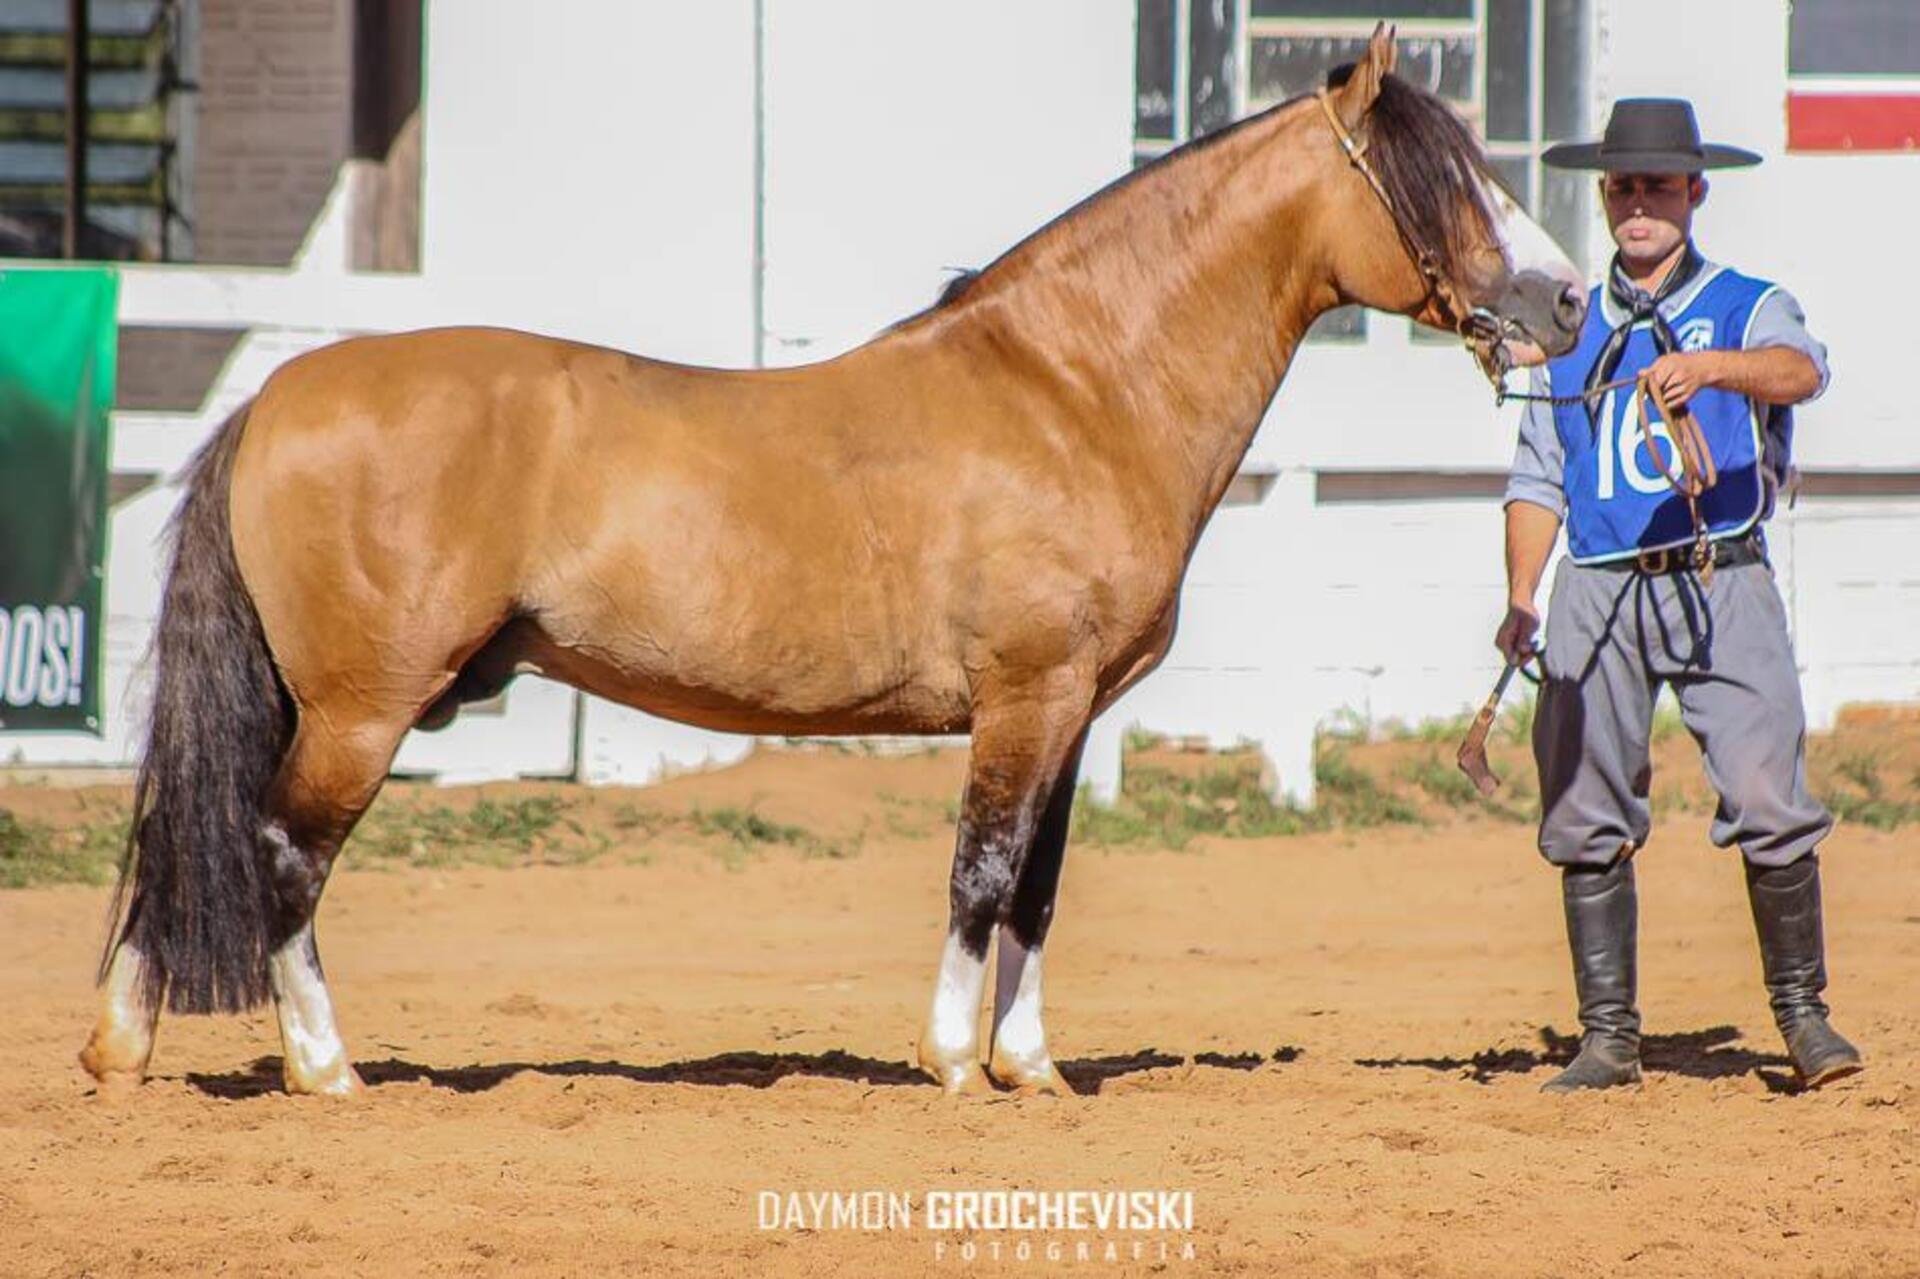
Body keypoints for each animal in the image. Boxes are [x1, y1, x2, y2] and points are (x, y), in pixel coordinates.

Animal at [81, 29, 1585, 1099]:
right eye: (1447, 179)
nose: (1571, 301)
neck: (1072, 388)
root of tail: (280, 395)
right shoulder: (1024, 699)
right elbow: (982, 872)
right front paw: (953, 1061)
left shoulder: (1072, 712)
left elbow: (1038, 887)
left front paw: (1031, 1065)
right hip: (360, 706)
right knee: (281, 848)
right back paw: (325, 1066)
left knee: (190, 836)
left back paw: (122, 1048)